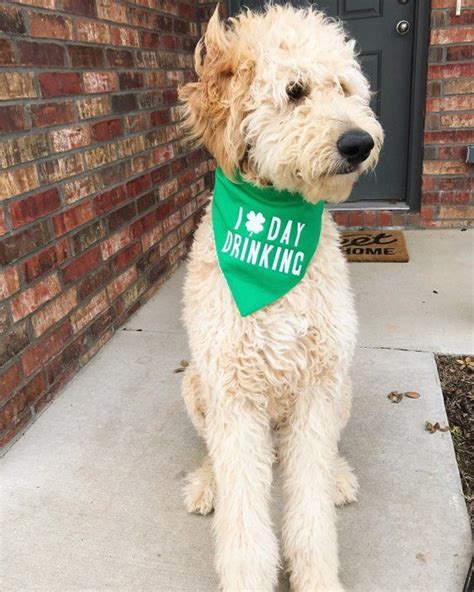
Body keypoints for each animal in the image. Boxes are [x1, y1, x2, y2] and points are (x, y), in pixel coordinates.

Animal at [178, 5, 382, 592]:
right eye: (295, 91)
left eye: (345, 88)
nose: (360, 143)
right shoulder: (233, 396)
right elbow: (244, 522)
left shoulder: (317, 389)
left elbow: (309, 509)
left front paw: (316, 575)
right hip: (195, 385)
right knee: (215, 454)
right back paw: (207, 484)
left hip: (342, 387)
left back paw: (337, 477)